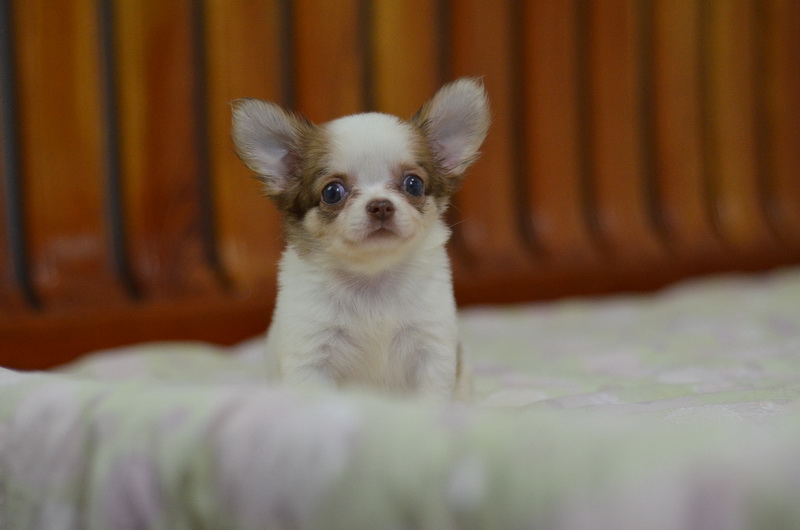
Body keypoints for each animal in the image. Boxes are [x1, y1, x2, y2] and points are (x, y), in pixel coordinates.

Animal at [231, 78, 489, 399]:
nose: (380, 205)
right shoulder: (311, 355)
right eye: (332, 192)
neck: (372, 280)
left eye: (414, 184)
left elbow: (430, 399)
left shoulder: (432, 349)